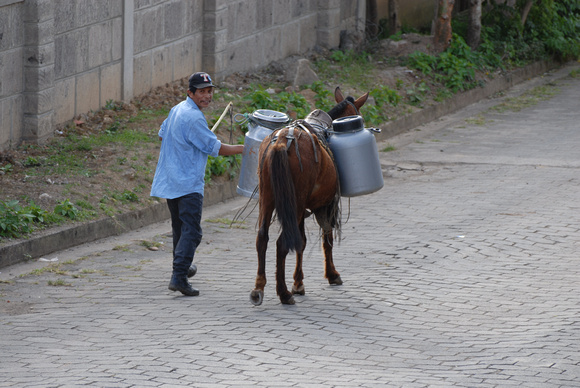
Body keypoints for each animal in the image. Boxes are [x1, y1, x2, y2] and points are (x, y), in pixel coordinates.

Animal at [248, 88, 368, 306]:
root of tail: (281, 143)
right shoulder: (327, 205)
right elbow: (326, 238)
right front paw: (331, 274)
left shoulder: (301, 209)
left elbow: (301, 241)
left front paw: (298, 283)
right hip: (294, 203)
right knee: (281, 243)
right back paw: (284, 293)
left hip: (269, 199)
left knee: (262, 238)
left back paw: (258, 288)